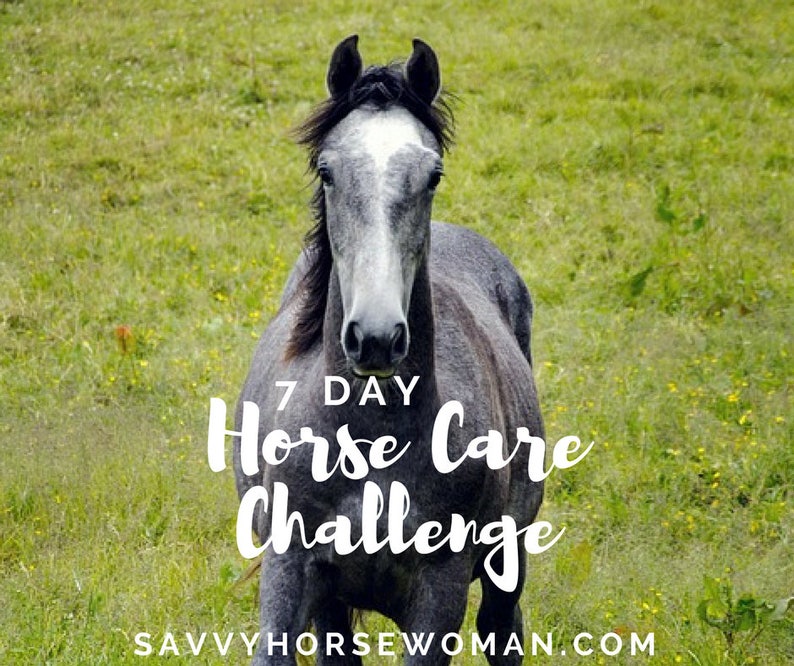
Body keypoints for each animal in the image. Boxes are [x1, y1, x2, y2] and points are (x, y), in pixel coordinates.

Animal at [234, 35, 544, 665]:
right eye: (326, 169)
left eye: (433, 174)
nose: (375, 337)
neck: (370, 443)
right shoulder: (290, 569)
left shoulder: (439, 592)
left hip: (509, 558)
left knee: (503, 627)